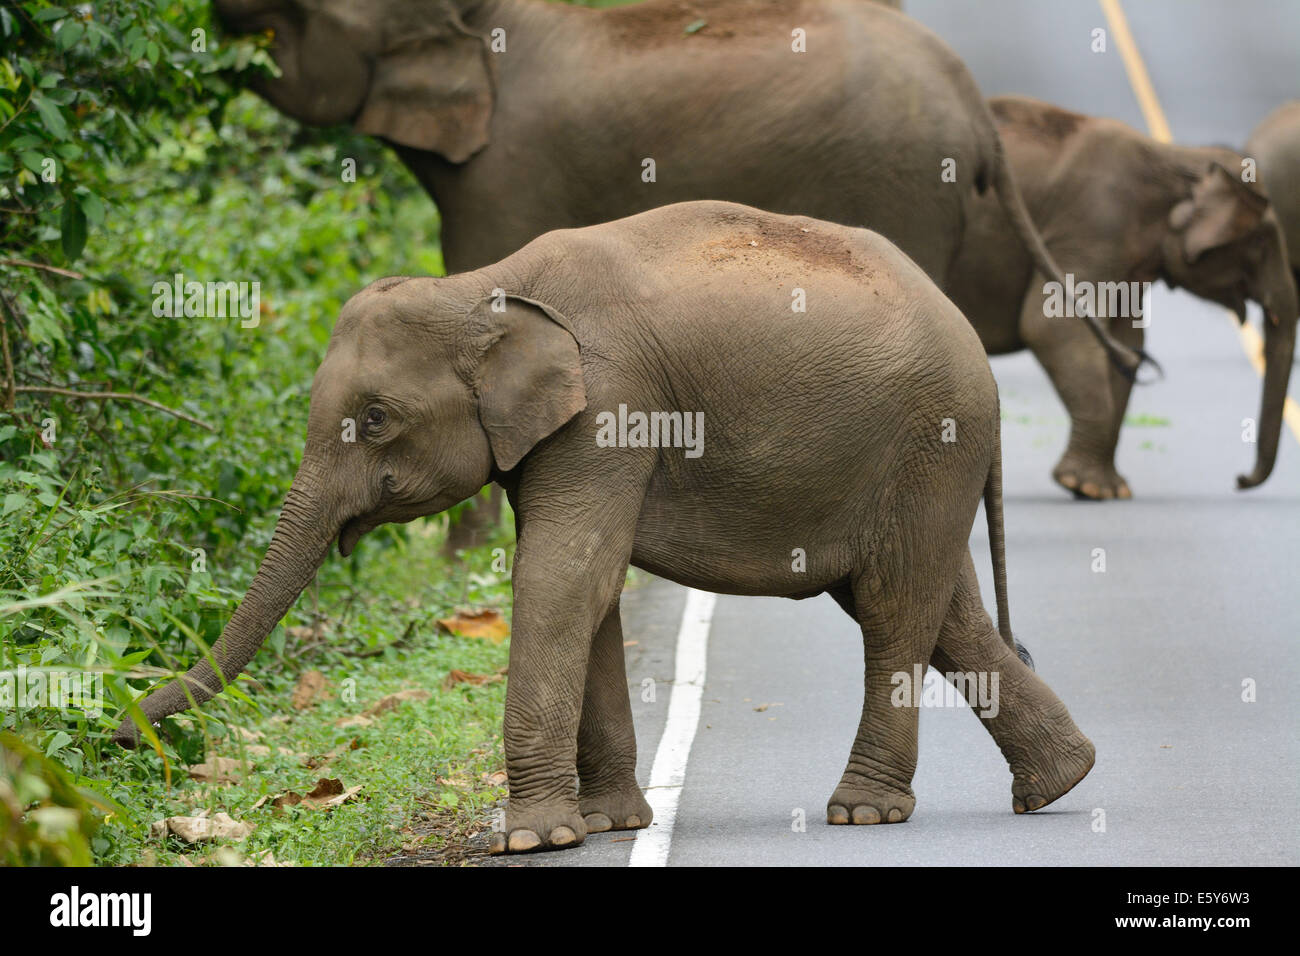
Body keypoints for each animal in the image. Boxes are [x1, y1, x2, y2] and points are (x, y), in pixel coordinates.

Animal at [113, 201, 1096, 854]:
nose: (118, 734)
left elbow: (562, 576)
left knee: (894, 611)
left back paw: (864, 812)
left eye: (377, 419)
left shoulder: (611, 408)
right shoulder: (556, 435)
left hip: (929, 442)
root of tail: (976, 351)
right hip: (919, 463)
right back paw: (1062, 782)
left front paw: (532, 839)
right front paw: (604, 824)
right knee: (941, 612)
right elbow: (589, 588)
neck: (486, 289)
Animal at [946, 96, 1298, 500]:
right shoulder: (1093, 225)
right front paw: (1085, 487)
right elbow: (1052, 326)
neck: (1179, 158)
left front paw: (1101, 490)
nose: (1239, 479)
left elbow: (1126, 341)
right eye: (1262, 243)